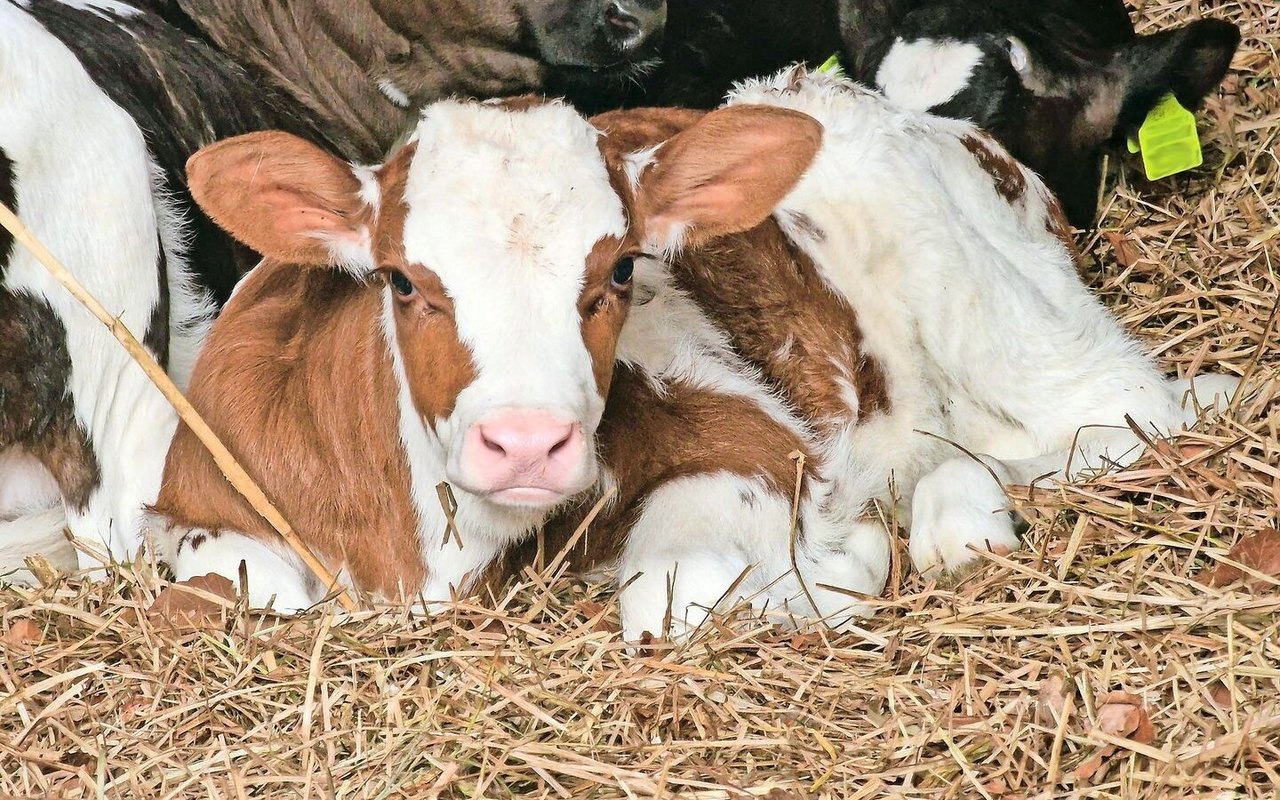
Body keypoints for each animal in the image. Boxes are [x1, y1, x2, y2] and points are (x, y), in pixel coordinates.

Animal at [152, 71, 1239, 640]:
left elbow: (672, 593)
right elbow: (210, 593)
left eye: (621, 267)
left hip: (1011, 321)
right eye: (401, 280)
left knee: (1143, 411)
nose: (527, 443)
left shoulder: (754, 438)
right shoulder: (204, 503)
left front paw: (846, 559)